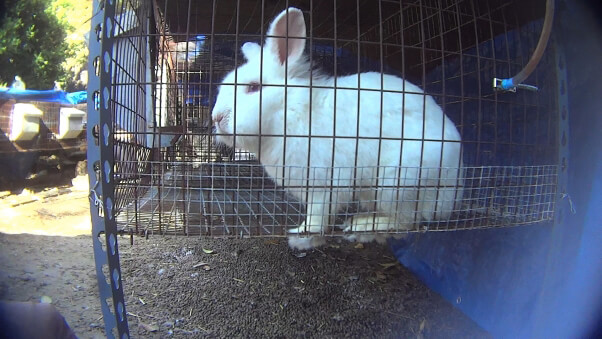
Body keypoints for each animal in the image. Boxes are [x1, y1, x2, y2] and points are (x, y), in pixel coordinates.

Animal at [212, 7, 464, 250]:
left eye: (254, 87)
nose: (216, 117)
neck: (290, 110)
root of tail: (453, 193)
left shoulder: (323, 184)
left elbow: (317, 217)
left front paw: (301, 239)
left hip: (397, 182)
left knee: (406, 222)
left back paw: (362, 225)